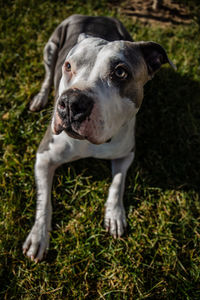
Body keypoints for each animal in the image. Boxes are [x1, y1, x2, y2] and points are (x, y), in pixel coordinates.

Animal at [22, 14, 175, 262]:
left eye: (120, 72)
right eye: (68, 66)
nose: (70, 104)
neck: (89, 144)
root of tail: (93, 16)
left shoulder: (126, 153)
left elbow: (118, 182)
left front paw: (114, 215)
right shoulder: (44, 156)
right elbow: (43, 201)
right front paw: (38, 235)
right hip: (50, 48)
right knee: (47, 76)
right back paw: (40, 98)